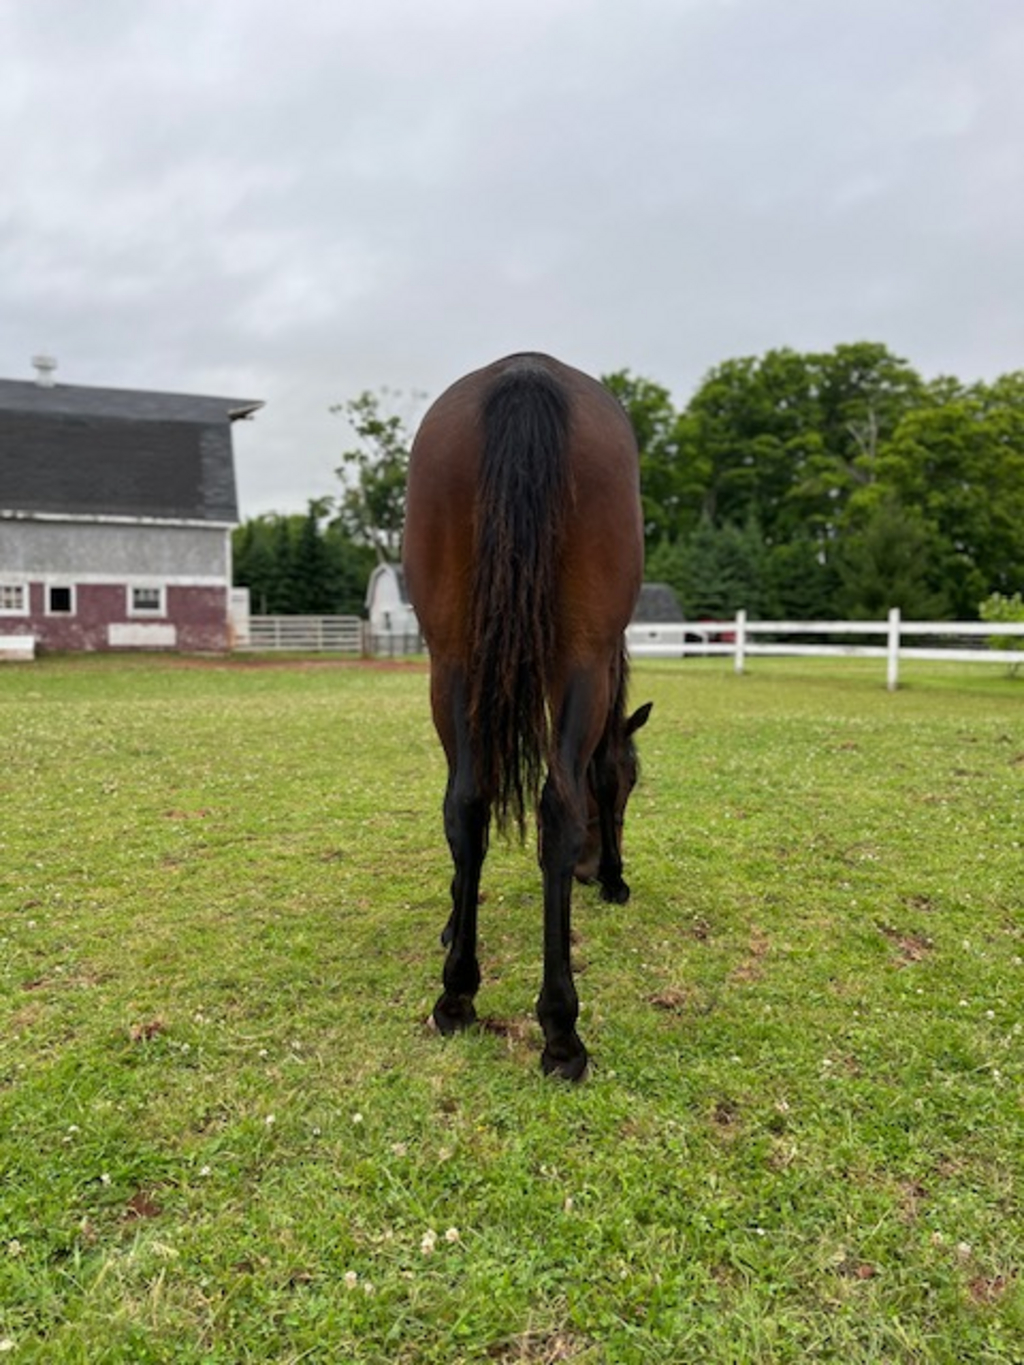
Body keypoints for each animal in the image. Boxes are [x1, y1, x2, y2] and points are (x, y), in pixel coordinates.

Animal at [401, 349, 649, 1075]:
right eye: (635, 784)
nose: (593, 871)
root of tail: (526, 374)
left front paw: (454, 924)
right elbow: (594, 778)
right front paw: (615, 878)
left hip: (452, 659)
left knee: (466, 803)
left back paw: (457, 996)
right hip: (581, 659)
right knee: (558, 806)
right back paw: (561, 1029)